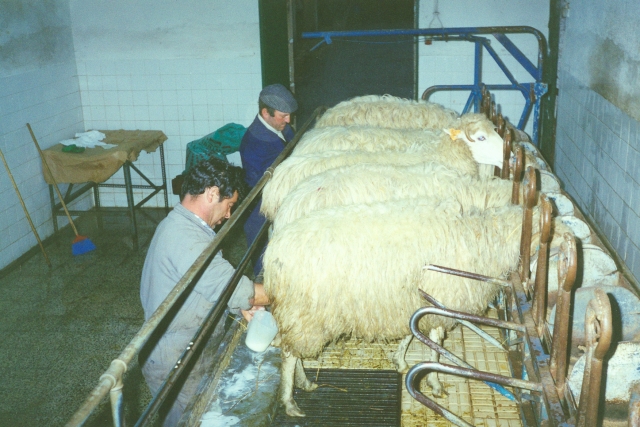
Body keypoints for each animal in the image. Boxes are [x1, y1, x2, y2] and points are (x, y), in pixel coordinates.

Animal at [262, 201, 532, 418]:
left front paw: (400, 360)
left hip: (302, 315)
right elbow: (435, 346)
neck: (482, 239)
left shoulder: (414, 302)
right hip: (304, 311)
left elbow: (411, 332)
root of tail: (274, 250)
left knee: (292, 349)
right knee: (288, 355)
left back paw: (304, 382)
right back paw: (290, 401)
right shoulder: (439, 301)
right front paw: (435, 383)